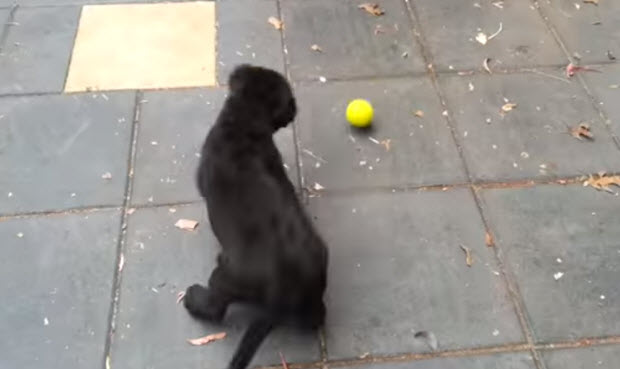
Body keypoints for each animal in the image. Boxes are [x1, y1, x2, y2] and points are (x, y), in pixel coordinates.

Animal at [183, 64, 330, 366]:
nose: (295, 107)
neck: (243, 124)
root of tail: (281, 291)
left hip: (224, 275)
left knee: (216, 307)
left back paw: (193, 299)